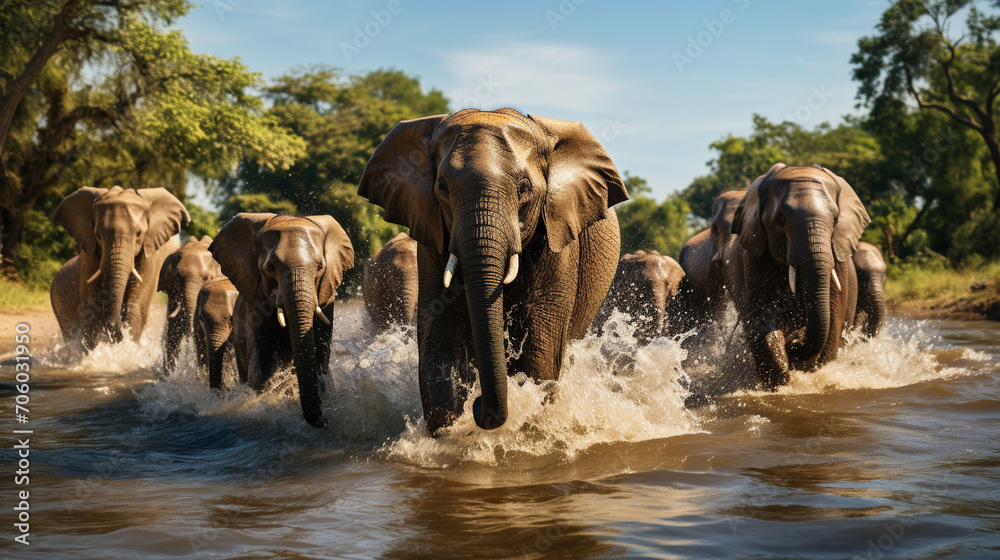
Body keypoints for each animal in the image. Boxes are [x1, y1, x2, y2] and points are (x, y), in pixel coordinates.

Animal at [50, 186, 190, 348]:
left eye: (138, 234)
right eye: (98, 235)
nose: (113, 328)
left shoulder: (150, 255)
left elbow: (135, 306)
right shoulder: (88, 257)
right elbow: (91, 308)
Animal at [209, 213, 354, 428]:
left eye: (320, 267)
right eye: (270, 267)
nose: (326, 421)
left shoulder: (327, 298)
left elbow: (320, 361)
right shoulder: (255, 302)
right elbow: (263, 367)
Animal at [358, 108, 628, 433]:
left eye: (524, 188)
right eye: (442, 187)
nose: (477, 406)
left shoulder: (558, 234)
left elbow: (541, 350)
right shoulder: (431, 236)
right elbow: (441, 336)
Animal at [724, 164, 870, 388]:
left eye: (836, 219)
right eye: (780, 220)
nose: (794, 342)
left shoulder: (838, 256)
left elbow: (833, 317)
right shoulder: (753, 258)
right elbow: (761, 317)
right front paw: (780, 378)